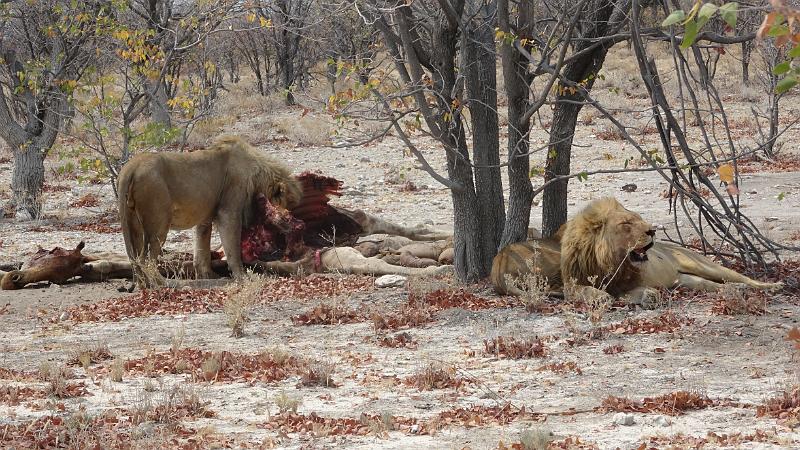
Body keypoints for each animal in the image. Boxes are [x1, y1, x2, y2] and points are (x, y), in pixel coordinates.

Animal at [119, 135, 304, 286]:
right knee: (146, 259)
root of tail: (131, 167)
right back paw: (162, 283)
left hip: (132, 223)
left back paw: (144, 285)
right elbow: (232, 248)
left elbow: (201, 250)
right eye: (289, 210)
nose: (301, 225)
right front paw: (242, 277)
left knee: (135, 258)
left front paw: (209, 275)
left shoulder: (205, 218)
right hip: (159, 222)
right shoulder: (228, 211)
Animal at [494, 196, 780, 302]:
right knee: (715, 286)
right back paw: (738, 291)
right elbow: (591, 292)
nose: (652, 230)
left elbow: (634, 291)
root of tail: (499, 263)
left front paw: (647, 296)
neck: (609, 260)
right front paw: (601, 298)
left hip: (701, 263)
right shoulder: (572, 283)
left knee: (741, 278)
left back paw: (772, 286)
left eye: (639, 219)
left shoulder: (629, 281)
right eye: (626, 224)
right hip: (688, 280)